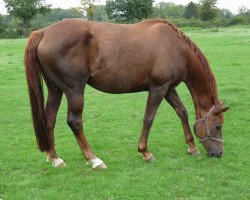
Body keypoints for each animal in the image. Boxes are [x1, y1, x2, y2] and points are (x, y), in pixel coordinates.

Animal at [24, 19, 229, 169]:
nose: (218, 154)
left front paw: (192, 147)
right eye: (218, 126)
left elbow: (182, 112)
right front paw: (145, 152)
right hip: (74, 90)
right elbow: (149, 118)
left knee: (49, 119)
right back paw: (94, 160)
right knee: (74, 121)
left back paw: (55, 158)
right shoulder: (159, 88)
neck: (175, 47)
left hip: (55, 89)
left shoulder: (169, 88)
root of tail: (43, 32)